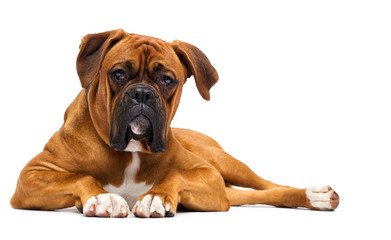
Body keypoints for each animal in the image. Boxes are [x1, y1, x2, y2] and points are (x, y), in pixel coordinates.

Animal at [9, 29, 340, 218]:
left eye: (167, 80)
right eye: (118, 73)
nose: (142, 94)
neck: (130, 151)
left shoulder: (208, 175)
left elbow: (175, 173)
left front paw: (156, 196)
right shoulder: (30, 177)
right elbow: (81, 176)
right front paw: (102, 197)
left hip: (225, 164)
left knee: (269, 186)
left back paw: (315, 196)